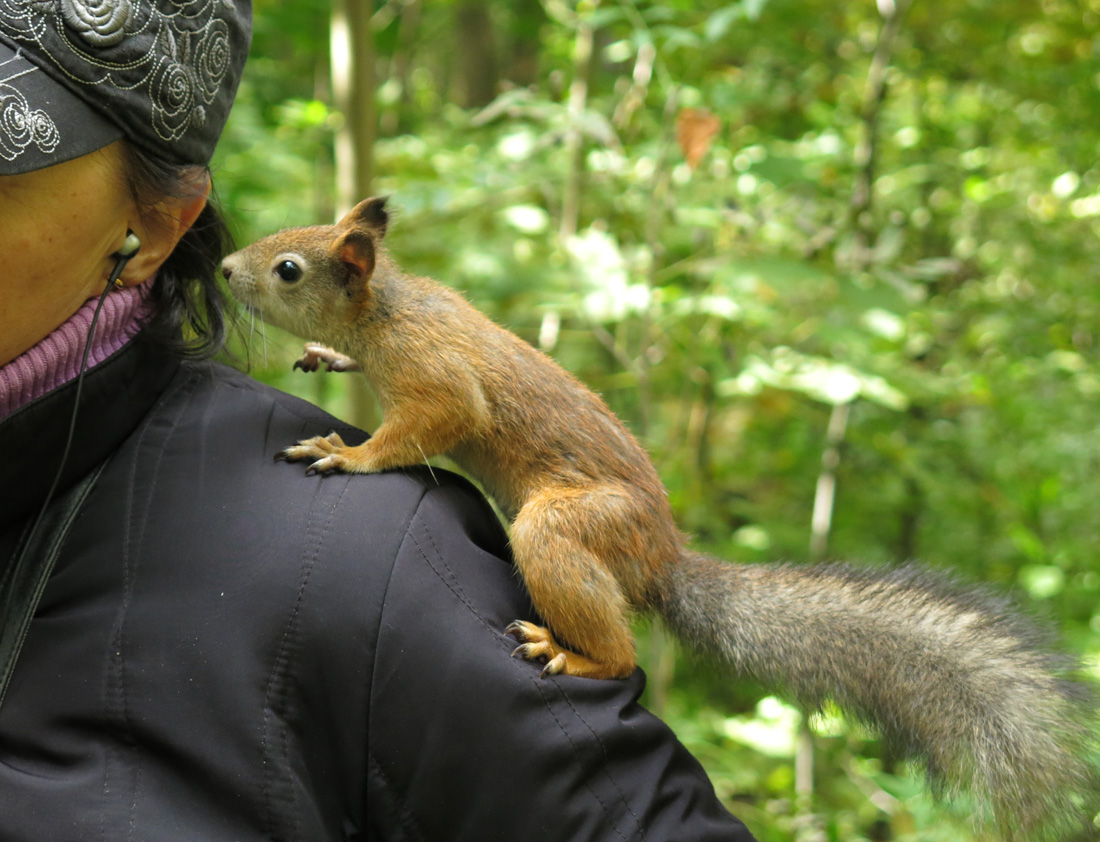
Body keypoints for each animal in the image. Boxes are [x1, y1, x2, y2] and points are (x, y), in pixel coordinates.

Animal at [218, 195, 1095, 836]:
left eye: (288, 269)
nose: (225, 268)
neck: (388, 308)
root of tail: (661, 560)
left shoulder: (435, 376)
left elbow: (427, 425)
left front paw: (350, 453)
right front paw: (328, 357)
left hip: (569, 529)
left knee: (618, 653)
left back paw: (573, 655)